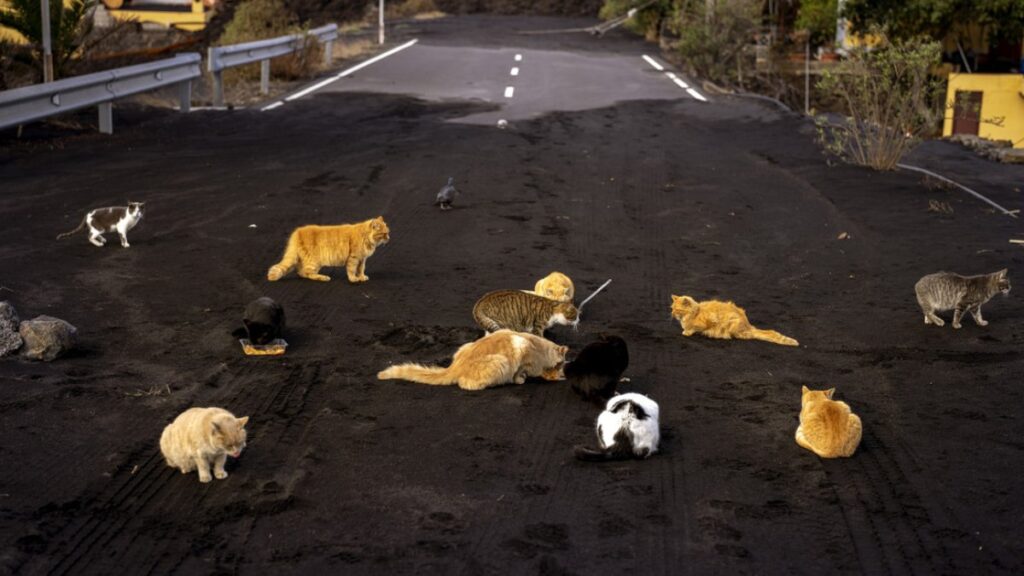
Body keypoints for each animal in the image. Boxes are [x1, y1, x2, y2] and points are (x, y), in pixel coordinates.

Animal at [376, 327, 569, 389]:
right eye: (560, 365)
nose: (560, 374)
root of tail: (454, 366)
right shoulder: (521, 349)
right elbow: (519, 373)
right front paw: (520, 379)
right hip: (501, 362)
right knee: (464, 384)